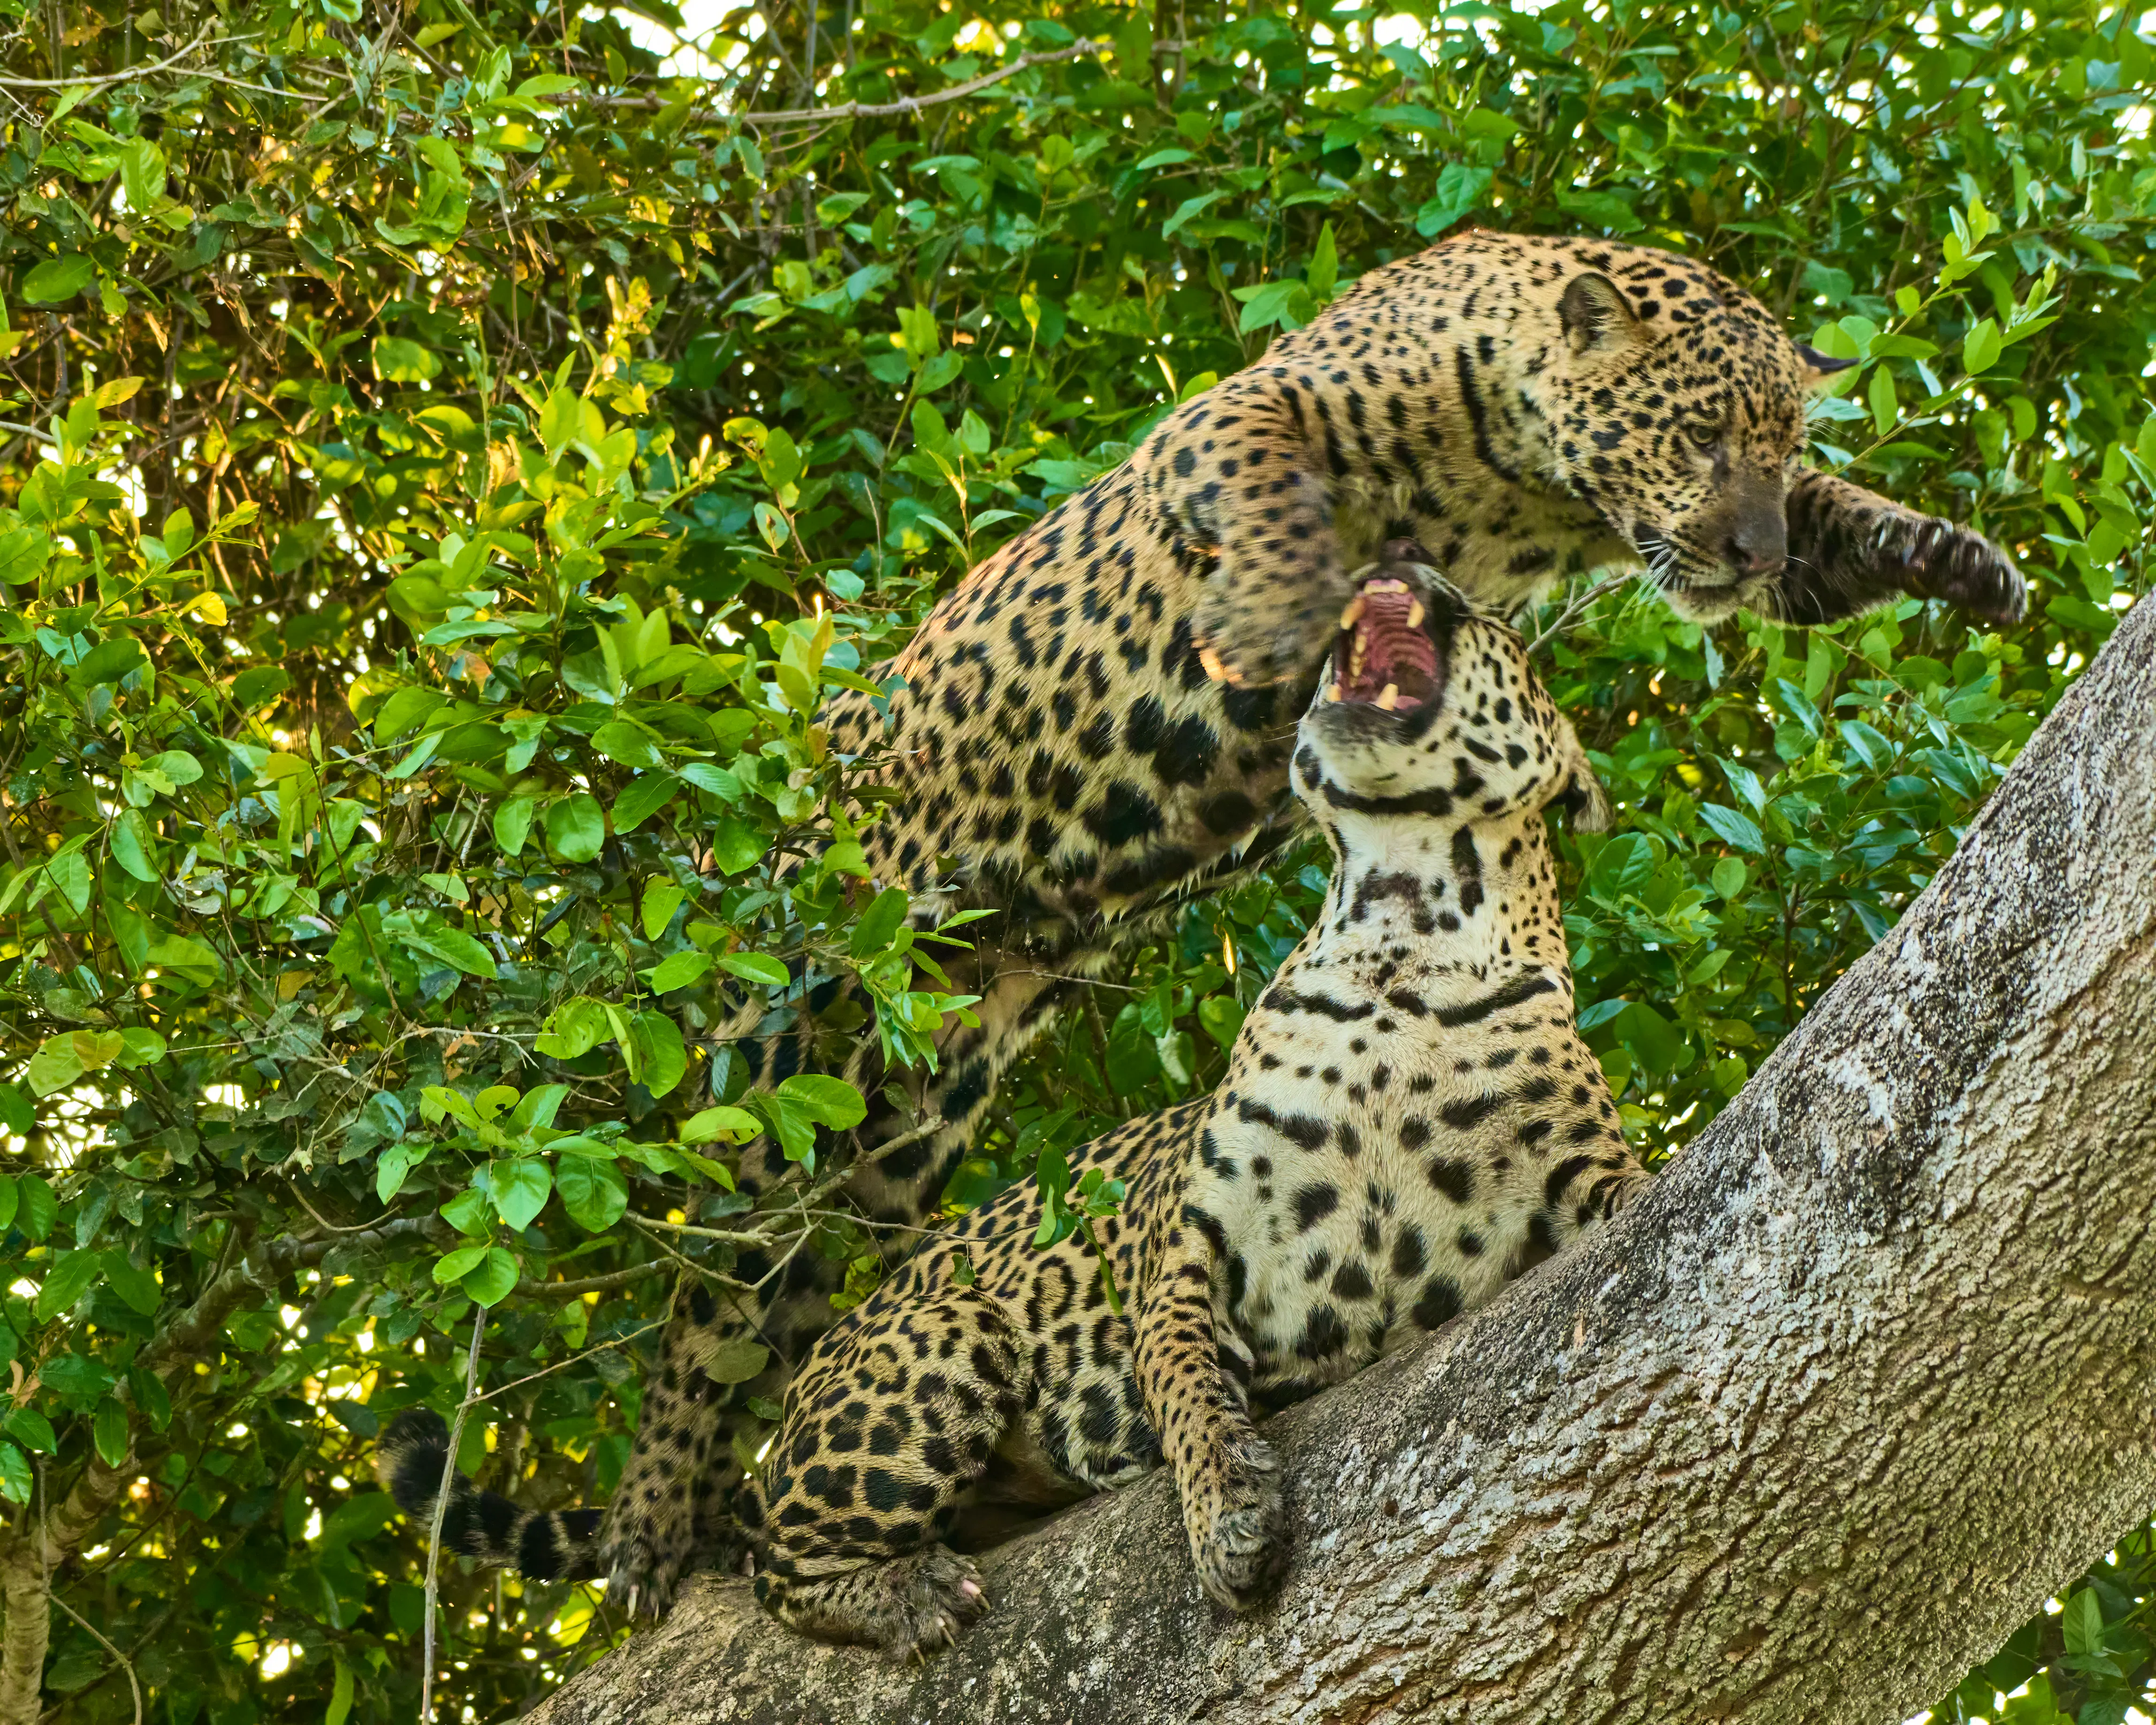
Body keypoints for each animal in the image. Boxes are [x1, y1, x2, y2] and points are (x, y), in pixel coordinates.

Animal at [377, 553, 1650, 1656]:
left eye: (1479, 622)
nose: (1411, 566)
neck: (1401, 917)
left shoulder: (1580, 1168)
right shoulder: (1186, 1240)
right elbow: (1184, 1376)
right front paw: (1228, 1515)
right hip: (946, 1335)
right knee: (778, 1564)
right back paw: (901, 1591)